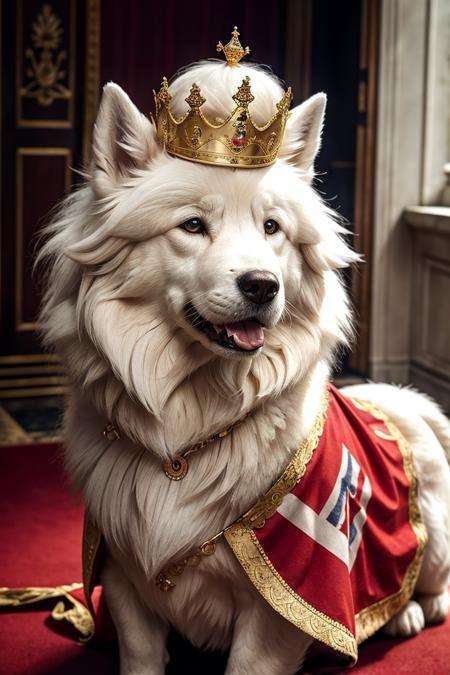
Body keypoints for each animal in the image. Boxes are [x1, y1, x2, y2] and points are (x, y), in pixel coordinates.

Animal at [39, 59, 450, 675]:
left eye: (272, 228)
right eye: (191, 226)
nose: (262, 285)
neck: (188, 431)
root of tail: (390, 402)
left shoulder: (281, 602)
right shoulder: (124, 576)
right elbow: (140, 655)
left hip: (434, 523)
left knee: (432, 584)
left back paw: (406, 613)